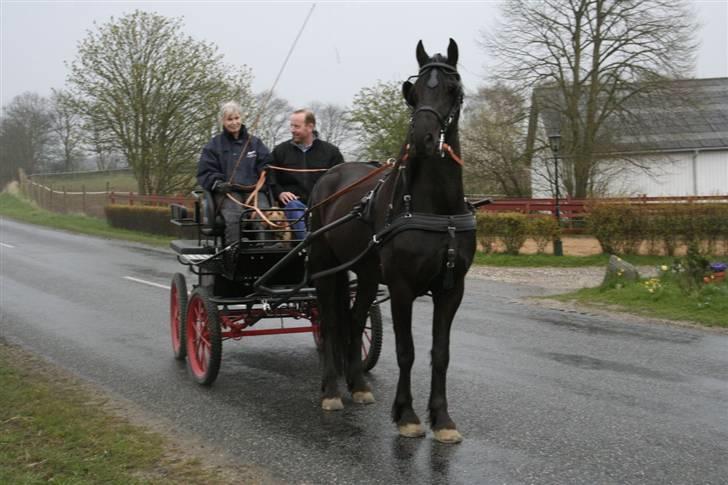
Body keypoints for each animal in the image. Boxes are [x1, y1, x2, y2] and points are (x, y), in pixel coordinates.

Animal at [308, 39, 474, 442]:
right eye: (413, 93)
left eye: (453, 89)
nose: (422, 139)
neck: (438, 209)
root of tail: (329, 176)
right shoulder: (401, 287)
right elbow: (405, 351)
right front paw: (407, 415)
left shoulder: (452, 288)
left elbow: (440, 352)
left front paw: (442, 419)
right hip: (325, 268)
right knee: (331, 325)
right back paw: (332, 389)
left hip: (366, 274)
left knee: (354, 321)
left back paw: (357, 385)